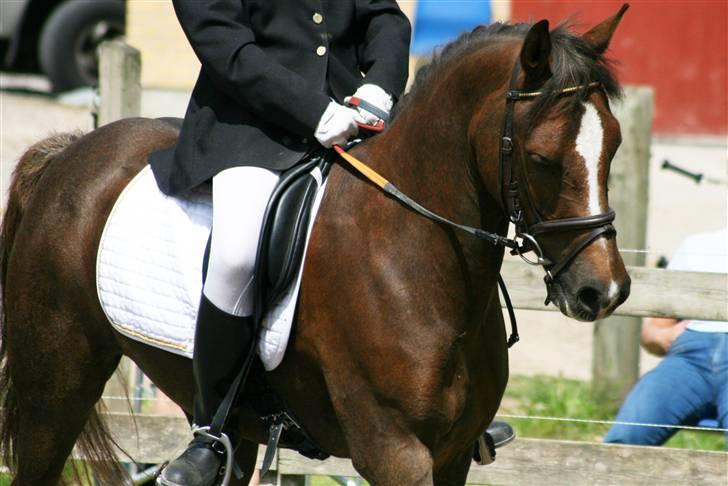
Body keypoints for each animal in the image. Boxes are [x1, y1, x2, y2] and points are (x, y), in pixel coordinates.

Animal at [1, 5, 632, 484]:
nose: (603, 292)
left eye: (615, 145)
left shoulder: (453, 455)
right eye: (542, 158)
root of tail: (70, 152)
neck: (412, 259)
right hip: (54, 387)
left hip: (229, 426)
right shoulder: (395, 453)